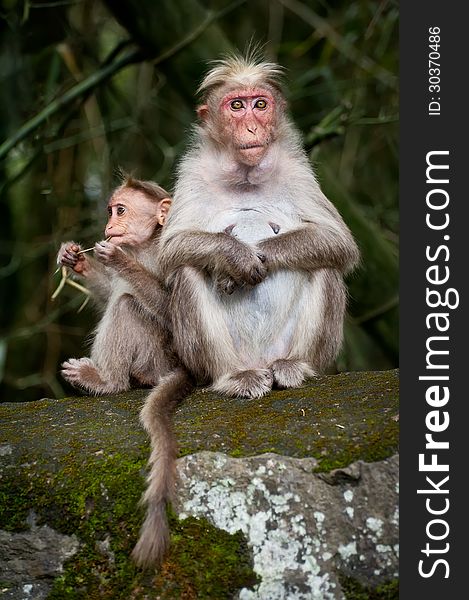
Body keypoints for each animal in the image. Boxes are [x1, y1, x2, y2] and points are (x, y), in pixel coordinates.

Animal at [57, 176, 174, 396]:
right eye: (110, 212)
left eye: (120, 211)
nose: (109, 226)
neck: (146, 244)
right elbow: (109, 291)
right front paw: (77, 260)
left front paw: (117, 258)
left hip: (159, 362)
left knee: (125, 306)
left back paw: (106, 382)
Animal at [157, 52, 358, 398]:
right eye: (237, 106)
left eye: (260, 104)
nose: (252, 127)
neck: (246, 176)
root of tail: (260, 359)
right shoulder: (193, 171)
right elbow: (171, 250)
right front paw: (234, 259)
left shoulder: (297, 170)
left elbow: (337, 241)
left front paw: (257, 255)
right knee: (188, 269)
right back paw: (233, 375)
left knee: (325, 264)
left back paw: (294, 366)